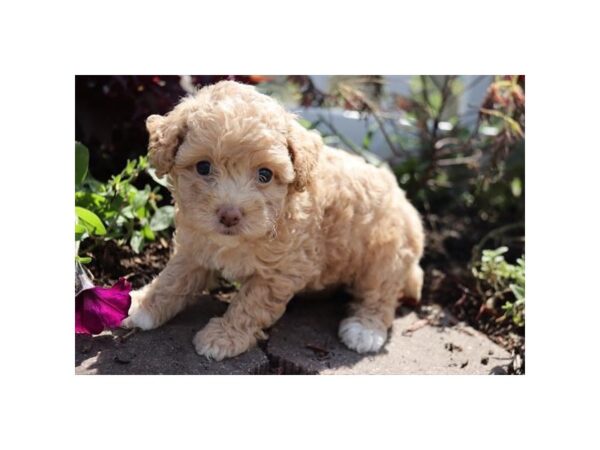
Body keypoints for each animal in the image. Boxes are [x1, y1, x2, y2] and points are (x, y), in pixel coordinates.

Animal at [122, 80, 424, 362]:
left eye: (265, 175)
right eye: (203, 167)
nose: (230, 215)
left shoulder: (278, 272)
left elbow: (250, 304)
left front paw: (223, 337)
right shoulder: (195, 245)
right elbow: (173, 278)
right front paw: (143, 306)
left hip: (385, 254)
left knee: (380, 292)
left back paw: (365, 329)